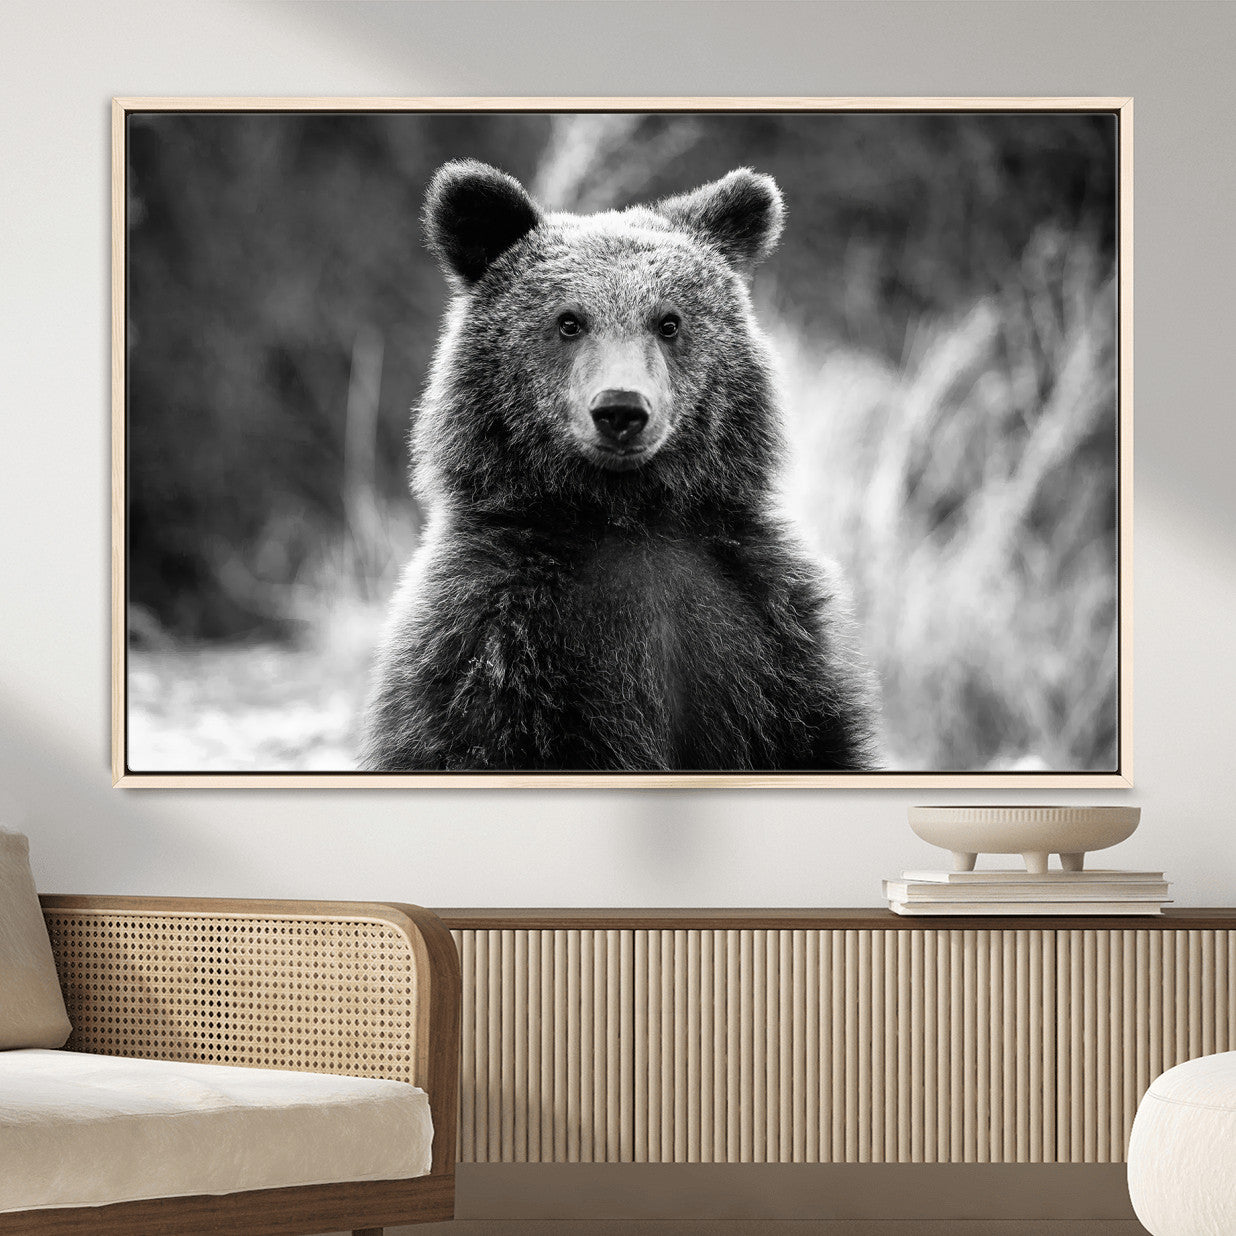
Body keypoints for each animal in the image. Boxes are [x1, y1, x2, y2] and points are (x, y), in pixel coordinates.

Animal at [360, 160, 880, 773]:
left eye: (669, 322)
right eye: (568, 321)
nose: (621, 410)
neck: (627, 516)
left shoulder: (769, 632)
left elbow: (814, 736)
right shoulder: (489, 641)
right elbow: (463, 736)